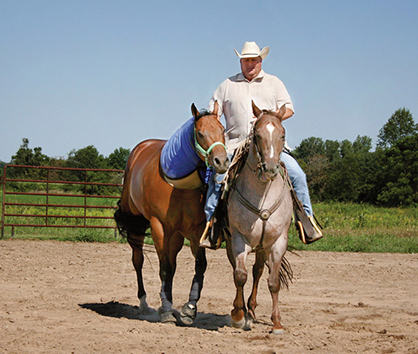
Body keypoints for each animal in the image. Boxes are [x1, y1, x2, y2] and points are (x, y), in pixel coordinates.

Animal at [114, 102, 229, 326]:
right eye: (200, 133)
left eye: (223, 130)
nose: (221, 161)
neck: (180, 187)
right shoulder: (159, 227)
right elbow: (164, 268)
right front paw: (166, 311)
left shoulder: (195, 230)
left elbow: (199, 266)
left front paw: (189, 310)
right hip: (138, 224)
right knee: (138, 260)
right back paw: (144, 304)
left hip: (175, 235)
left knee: (172, 263)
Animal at [225, 100, 290, 334]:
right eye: (257, 135)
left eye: (282, 134)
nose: (270, 168)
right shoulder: (238, 239)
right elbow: (239, 275)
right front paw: (237, 315)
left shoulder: (278, 241)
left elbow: (273, 282)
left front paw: (277, 323)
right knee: (241, 270)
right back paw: (244, 311)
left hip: (262, 247)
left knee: (258, 271)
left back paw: (252, 310)